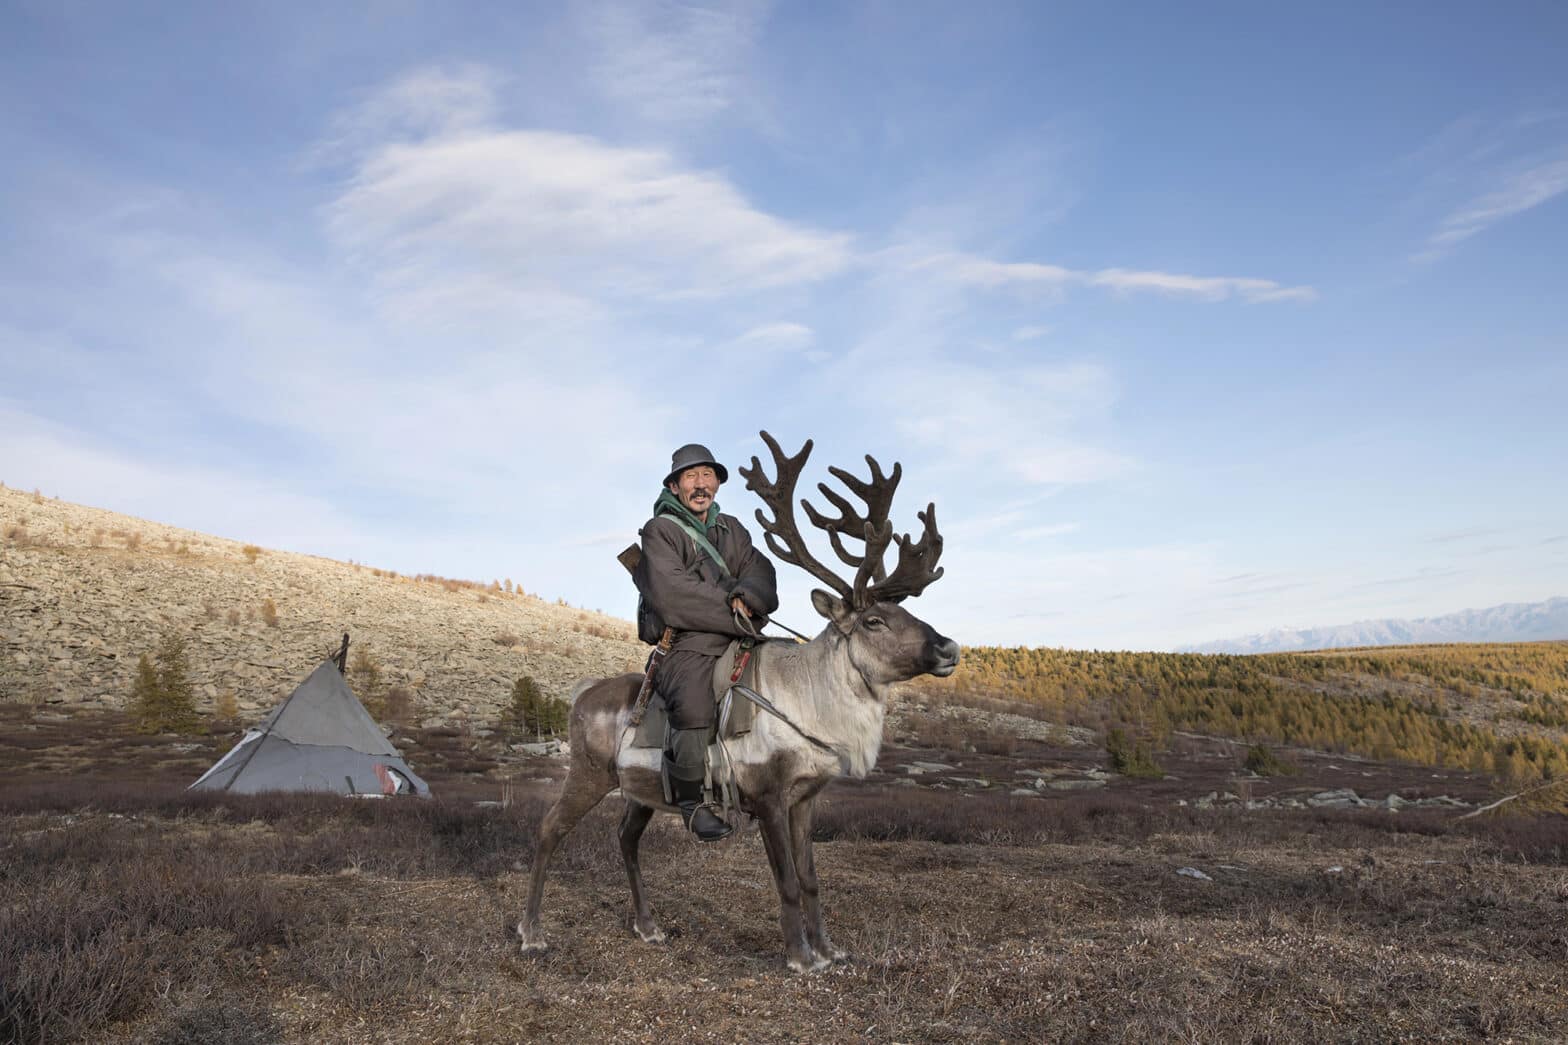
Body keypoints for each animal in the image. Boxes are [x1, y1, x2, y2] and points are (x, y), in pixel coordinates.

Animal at [515, 431, 959, 973]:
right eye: (874, 621)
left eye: (906, 611)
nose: (949, 648)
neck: (811, 705)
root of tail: (581, 693)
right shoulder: (766, 796)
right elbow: (785, 881)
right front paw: (799, 956)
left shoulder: (806, 797)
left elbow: (811, 880)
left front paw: (828, 949)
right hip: (588, 774)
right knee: (548, 830)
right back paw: (532, 932)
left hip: (642, 789)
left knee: (625, 837)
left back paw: (648, 926)